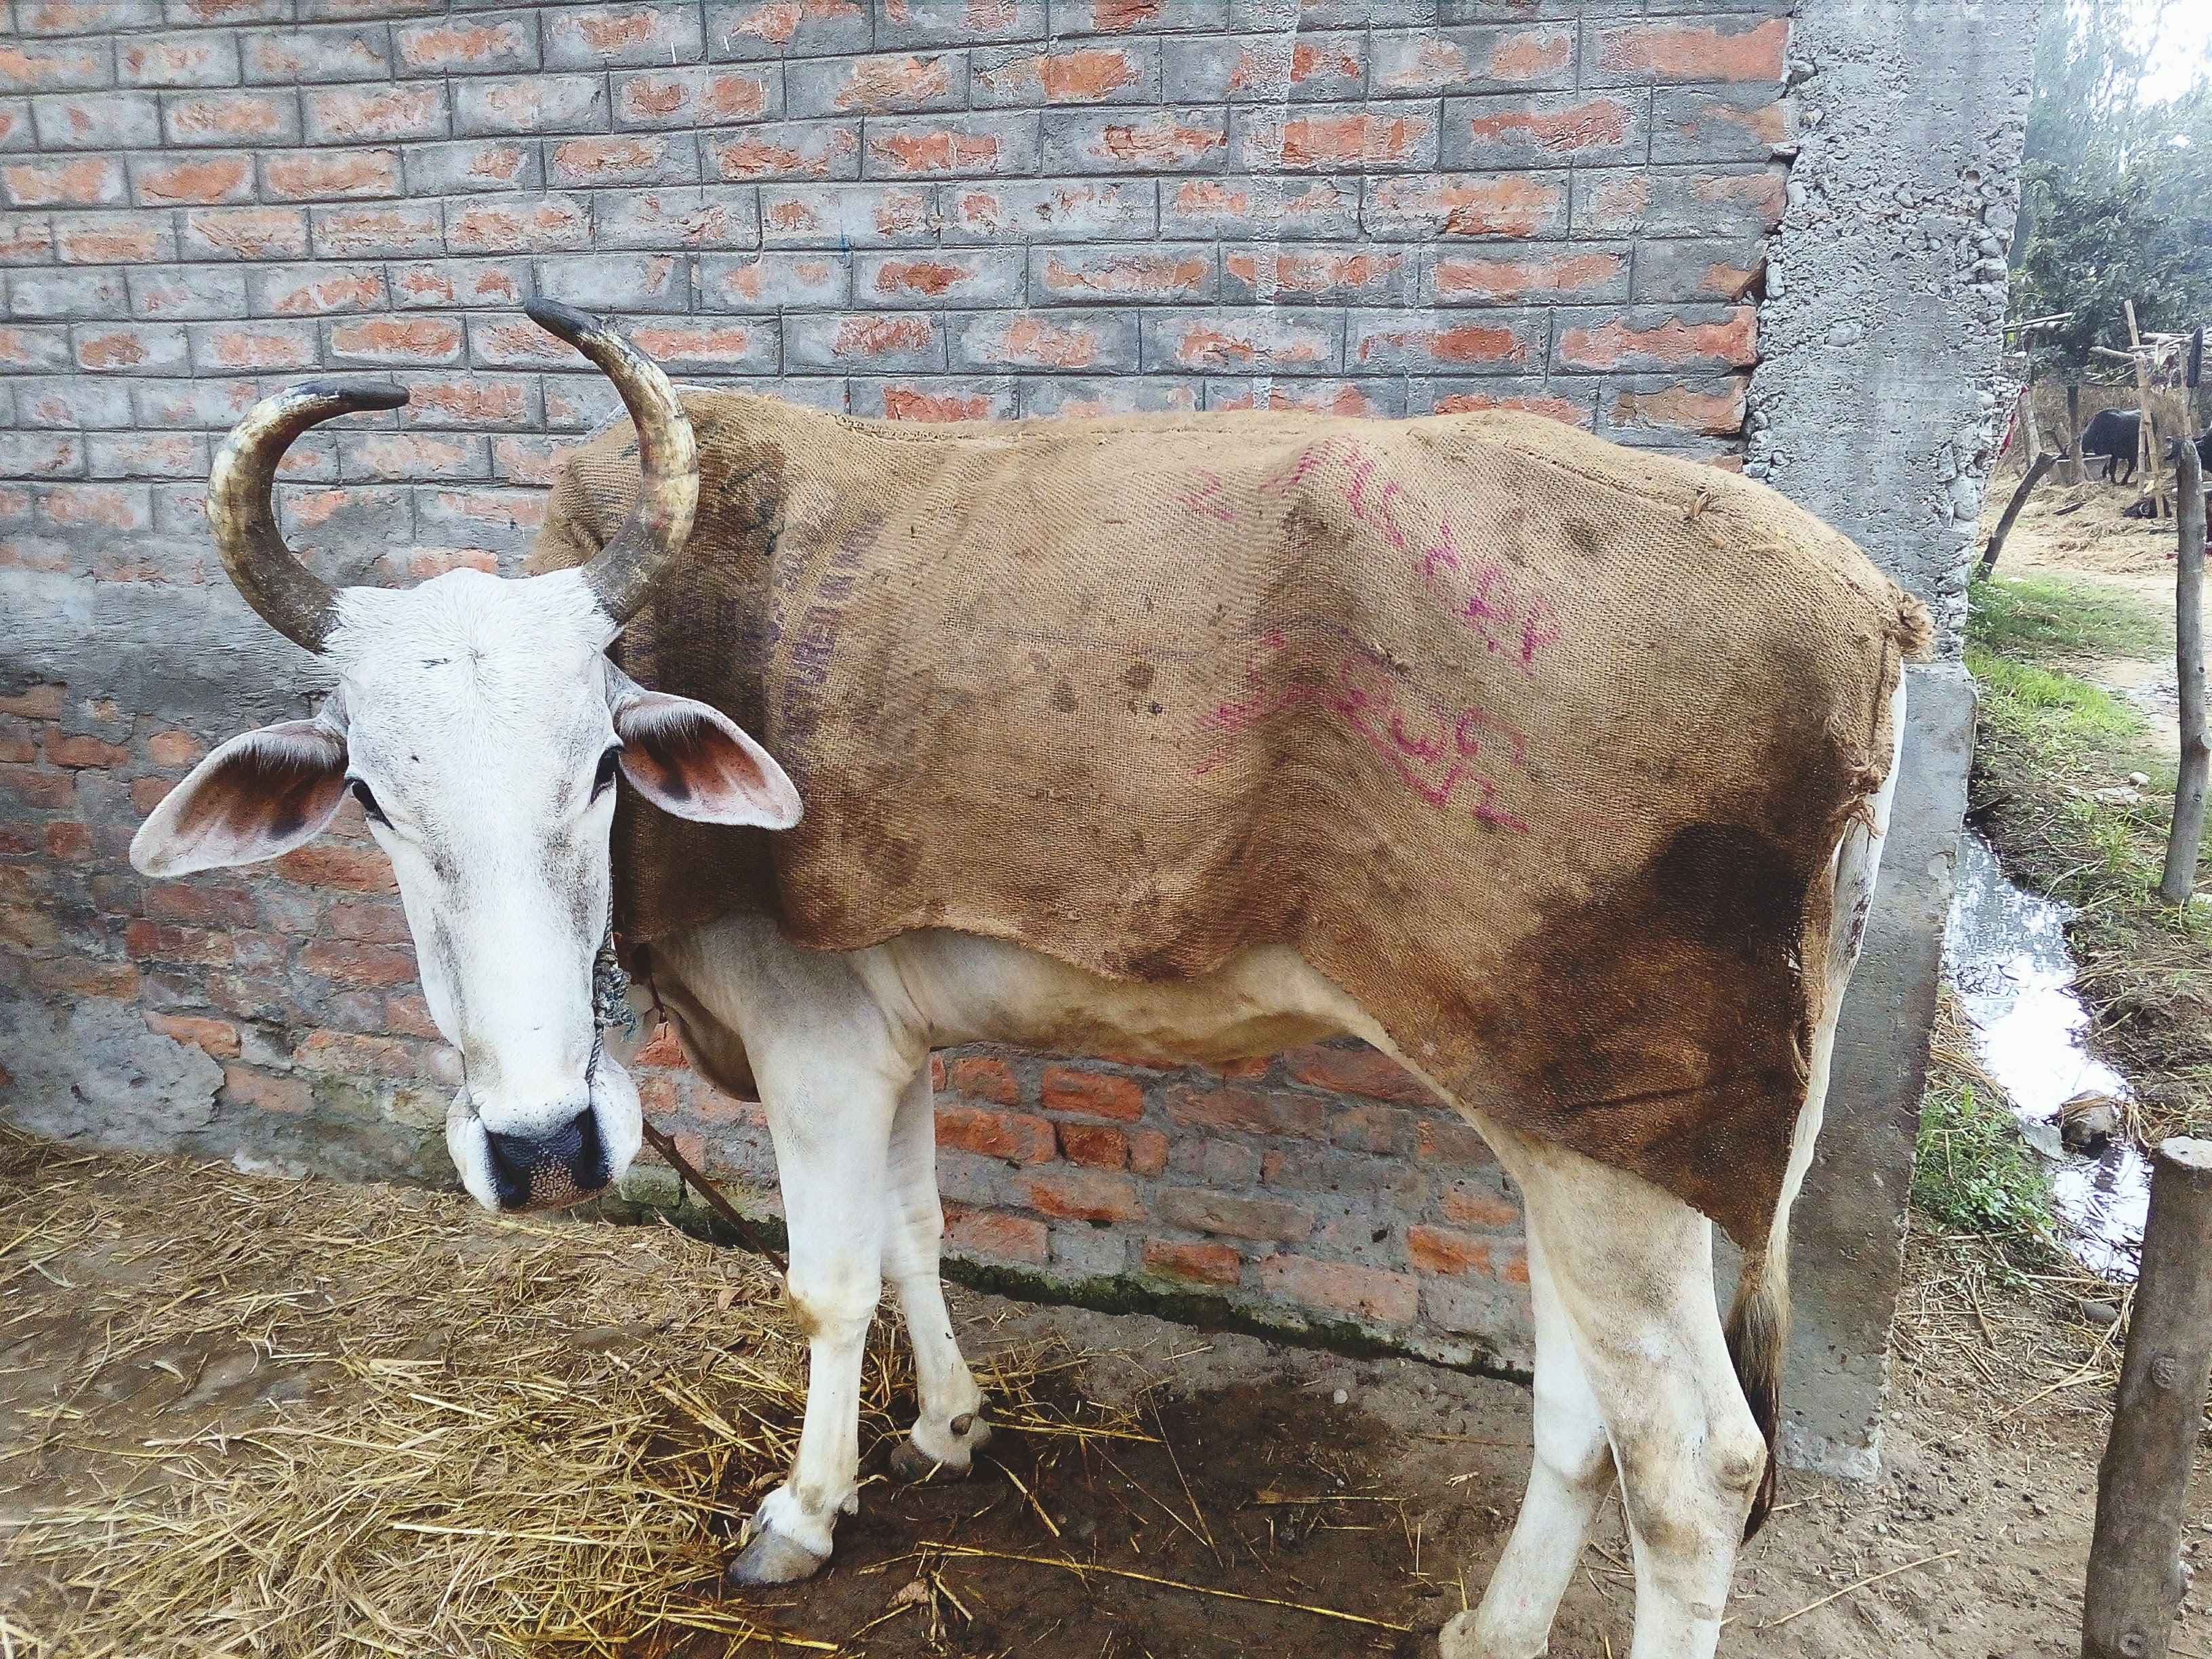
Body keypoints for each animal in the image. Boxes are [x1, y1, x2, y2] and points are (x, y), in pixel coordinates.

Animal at [132, 303, 1922, 1659]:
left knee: (1695, 1470)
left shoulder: (814, 1047)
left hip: (1620, 1143)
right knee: (1575, 1410)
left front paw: (805, 1510)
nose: (543, 1146)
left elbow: (826, 1278)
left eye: (598, 769)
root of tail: (1874, 610)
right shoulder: (887, 1034)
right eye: (375, 798)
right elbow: (922, 1229)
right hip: (1565, 1121)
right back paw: (1489, 1628)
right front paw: (949, 1427)